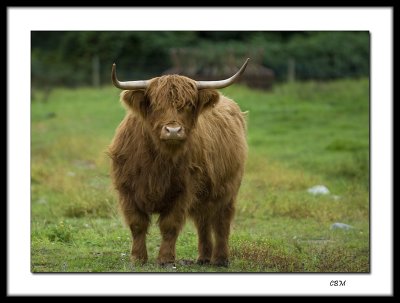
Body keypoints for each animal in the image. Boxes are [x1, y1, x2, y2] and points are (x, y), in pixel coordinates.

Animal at [108, 58, 248, 268]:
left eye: (189, 105)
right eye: (155, 105)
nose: (173, 131)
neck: (158, 161)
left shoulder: (183, 190)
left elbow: (170, 225)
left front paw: (165, 259)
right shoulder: (128, 189)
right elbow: (137, 224)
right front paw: (138, 258)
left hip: (228, 189)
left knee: (221, 222)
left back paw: (220, 259)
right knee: (203, 222)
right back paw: (203, 258)